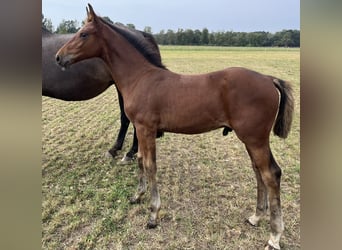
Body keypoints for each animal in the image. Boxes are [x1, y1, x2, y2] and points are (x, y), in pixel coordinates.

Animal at [55, 4, 294, 250]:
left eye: (84, 34)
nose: (59, 57)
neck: (140, 77)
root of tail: (269, 79)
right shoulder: (140, 129)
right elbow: (140, 159)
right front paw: (137, 196)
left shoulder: (146, 129)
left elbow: (150, 165)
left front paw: (153, 215)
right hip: (250, 139)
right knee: (258, 171)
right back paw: (256, 217)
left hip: (255, 139)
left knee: (270, 174)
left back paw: (274, 236)